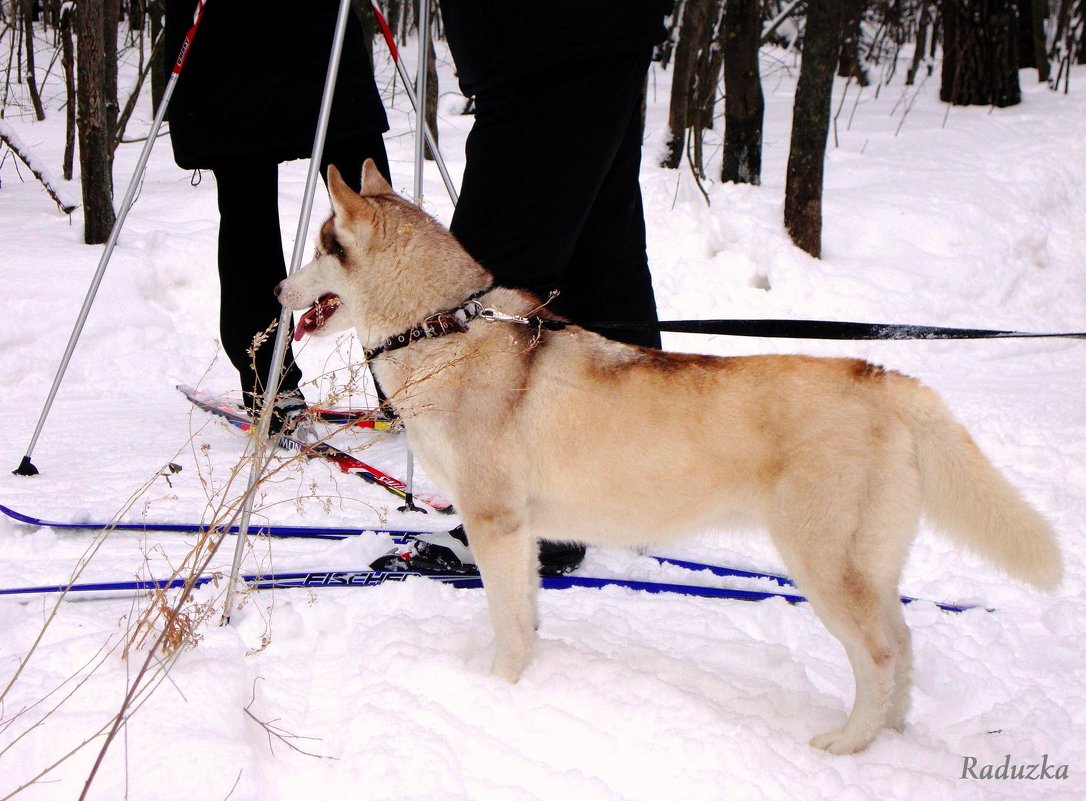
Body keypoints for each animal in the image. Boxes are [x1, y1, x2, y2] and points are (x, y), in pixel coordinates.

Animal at [275, 160, 1064, 746]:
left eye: (317, 248)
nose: (280, 288)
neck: (445, 329)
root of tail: (884, 375)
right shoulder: (523, 533)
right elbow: (526, 616)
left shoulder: (494, 522)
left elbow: (506, 623)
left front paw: (494, 692)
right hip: (869, 567)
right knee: (904, 643)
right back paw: (891, 734)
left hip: (823, 567)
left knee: (879, 654)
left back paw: (847, 744)